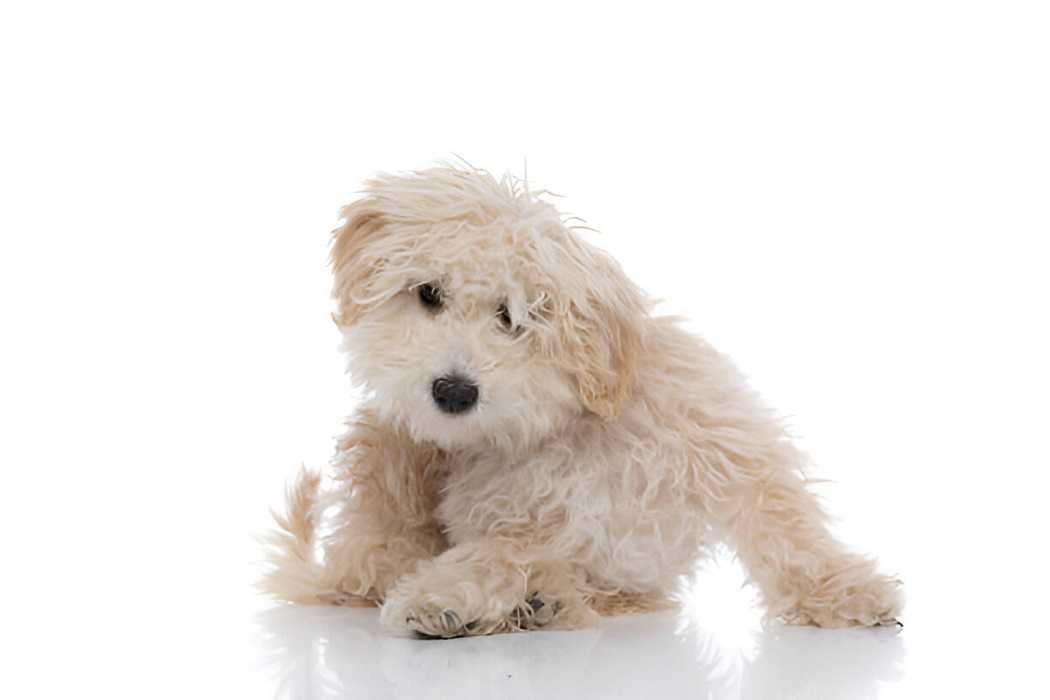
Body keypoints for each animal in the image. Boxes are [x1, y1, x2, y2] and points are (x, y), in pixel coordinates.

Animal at [262, 166, 902, 638]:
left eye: (513, 317)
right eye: (428, 294)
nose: (453, 391)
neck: (565, 428)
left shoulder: (715, 433)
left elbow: (782, 520)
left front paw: (846, 591)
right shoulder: (503, 517)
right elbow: (495, 553)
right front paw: (444, 598)